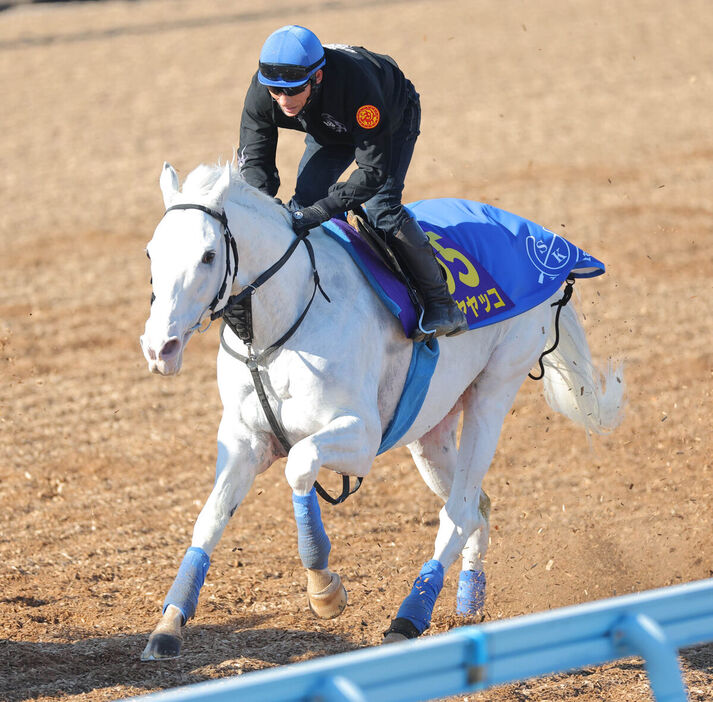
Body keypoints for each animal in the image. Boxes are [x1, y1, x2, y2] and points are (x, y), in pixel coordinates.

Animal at [139, 161, 624, 660]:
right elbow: (210, 518)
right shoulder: (244, 440)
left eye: (208, 256)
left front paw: (324, 589)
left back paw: (409, 618)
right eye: (151, 252)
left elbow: (300, 464)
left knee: (459, 513)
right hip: (431, 428)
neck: (281, 327)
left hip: (494, 390)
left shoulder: (361, 438)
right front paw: (170, 622)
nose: (160, 348)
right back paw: (469, 598)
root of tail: (552, 250)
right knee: (478, 507)